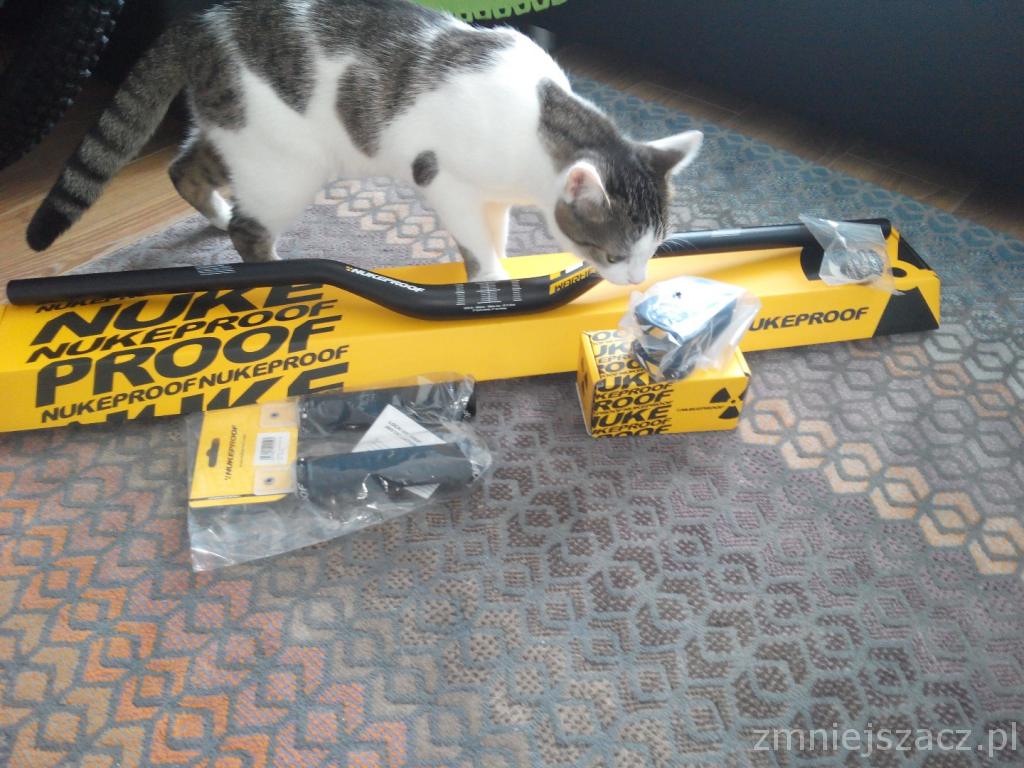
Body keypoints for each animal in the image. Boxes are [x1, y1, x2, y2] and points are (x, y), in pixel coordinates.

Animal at [26, 0, 703, 286]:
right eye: (613, 254)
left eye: (652, 250)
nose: (636, 282)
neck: (541, 121)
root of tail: (201, 20)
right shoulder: (446, 181)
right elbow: (477, 242)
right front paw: (490, 277)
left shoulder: (495, 196)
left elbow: (498, 229)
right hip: (286, 168)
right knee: (249, 228)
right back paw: (274, 265)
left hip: (245, 138)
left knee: (186, 168)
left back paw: (215, 212)